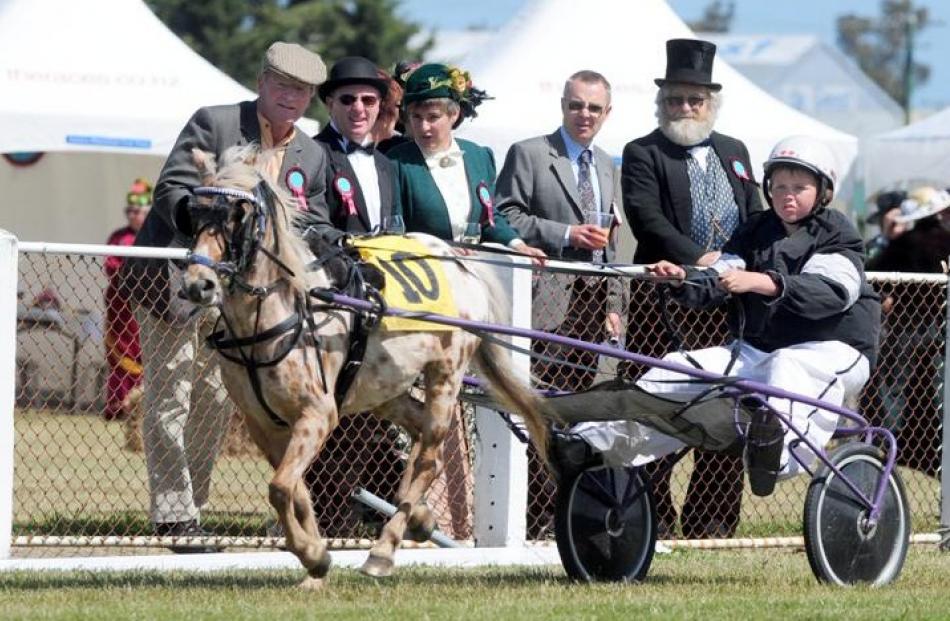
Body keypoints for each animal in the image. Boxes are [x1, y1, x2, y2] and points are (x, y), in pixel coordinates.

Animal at [178, 147, 552, 592]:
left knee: (428, 457)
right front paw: (316, 562)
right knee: (419, 436)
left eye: (239, 215)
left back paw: (383, 551)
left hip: (445, 375)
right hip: (385, 390)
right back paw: (418, 517)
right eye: (192, 214)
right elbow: (295, 491)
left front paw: (314, 556)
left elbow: (281, 488)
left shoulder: (318, 414)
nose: (198, 285)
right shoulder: (263, 424)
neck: (280, 315)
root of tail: (460, 262)